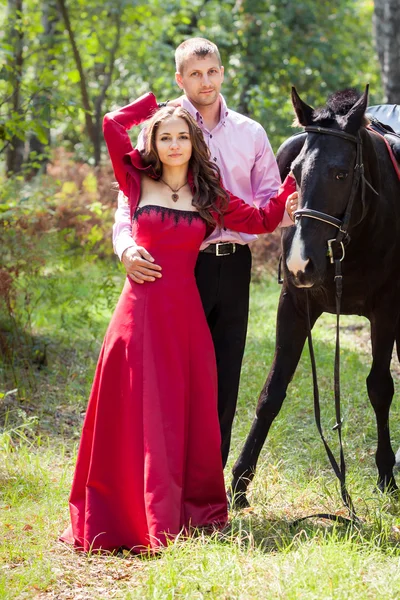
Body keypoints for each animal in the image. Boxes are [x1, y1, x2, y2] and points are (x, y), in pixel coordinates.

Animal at [230, 86, 400, 508]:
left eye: (341, 173)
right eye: (293, 172)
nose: (299, 262)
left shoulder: (387, 312)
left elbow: (380, 388)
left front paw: (386, 474)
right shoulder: (295, 305)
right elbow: (272, 390)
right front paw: (239, 482)